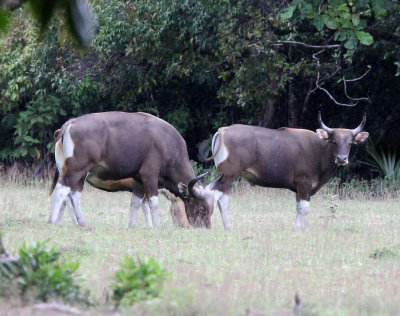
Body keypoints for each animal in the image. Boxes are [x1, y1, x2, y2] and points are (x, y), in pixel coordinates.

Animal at [38, 112, 222, 228]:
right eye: (201, 209)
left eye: (211, 210)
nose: (205, 227)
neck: (169, 145)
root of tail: (71, 123)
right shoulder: (149, 174)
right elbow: (153, 202)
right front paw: (156, 226)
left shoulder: (139, 180)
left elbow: (136, 203)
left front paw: (132, 225)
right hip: (77, 169)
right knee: (62, 191)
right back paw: (53, 221)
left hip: (77, 172)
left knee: (73, 194)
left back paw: (79, 222)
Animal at [198, 113, 368, 230]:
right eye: (334, 141)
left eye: (350, 142)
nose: (341, 158)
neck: (319, 150)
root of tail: (223, 130)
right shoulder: (304, 183)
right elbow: (304, 209)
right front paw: (303, 229)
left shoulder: (299, 188)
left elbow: (299, 208)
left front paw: (296, 228)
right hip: (228, 175)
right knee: (219, 198)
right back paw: (226, 227)